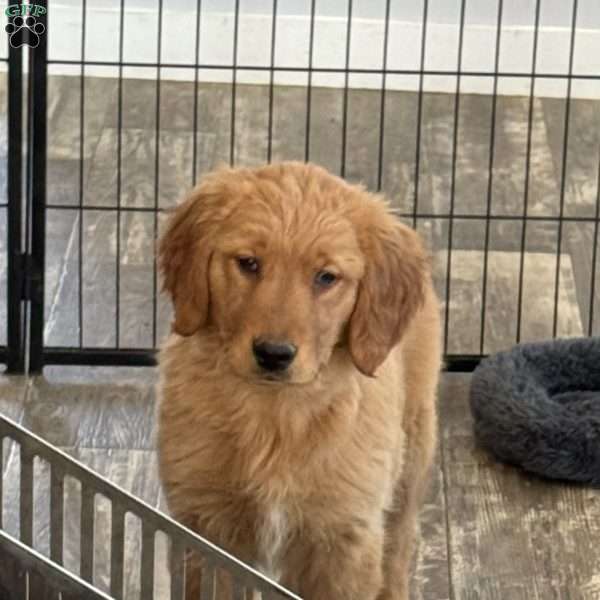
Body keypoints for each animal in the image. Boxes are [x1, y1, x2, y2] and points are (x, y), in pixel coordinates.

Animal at [157, 161, 442, 600]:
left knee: (398, 549)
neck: (273, 414)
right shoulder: (205, 523)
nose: (273, 354)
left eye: (326, 277)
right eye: (248, 263)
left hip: (412, 457)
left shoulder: (343, 537)